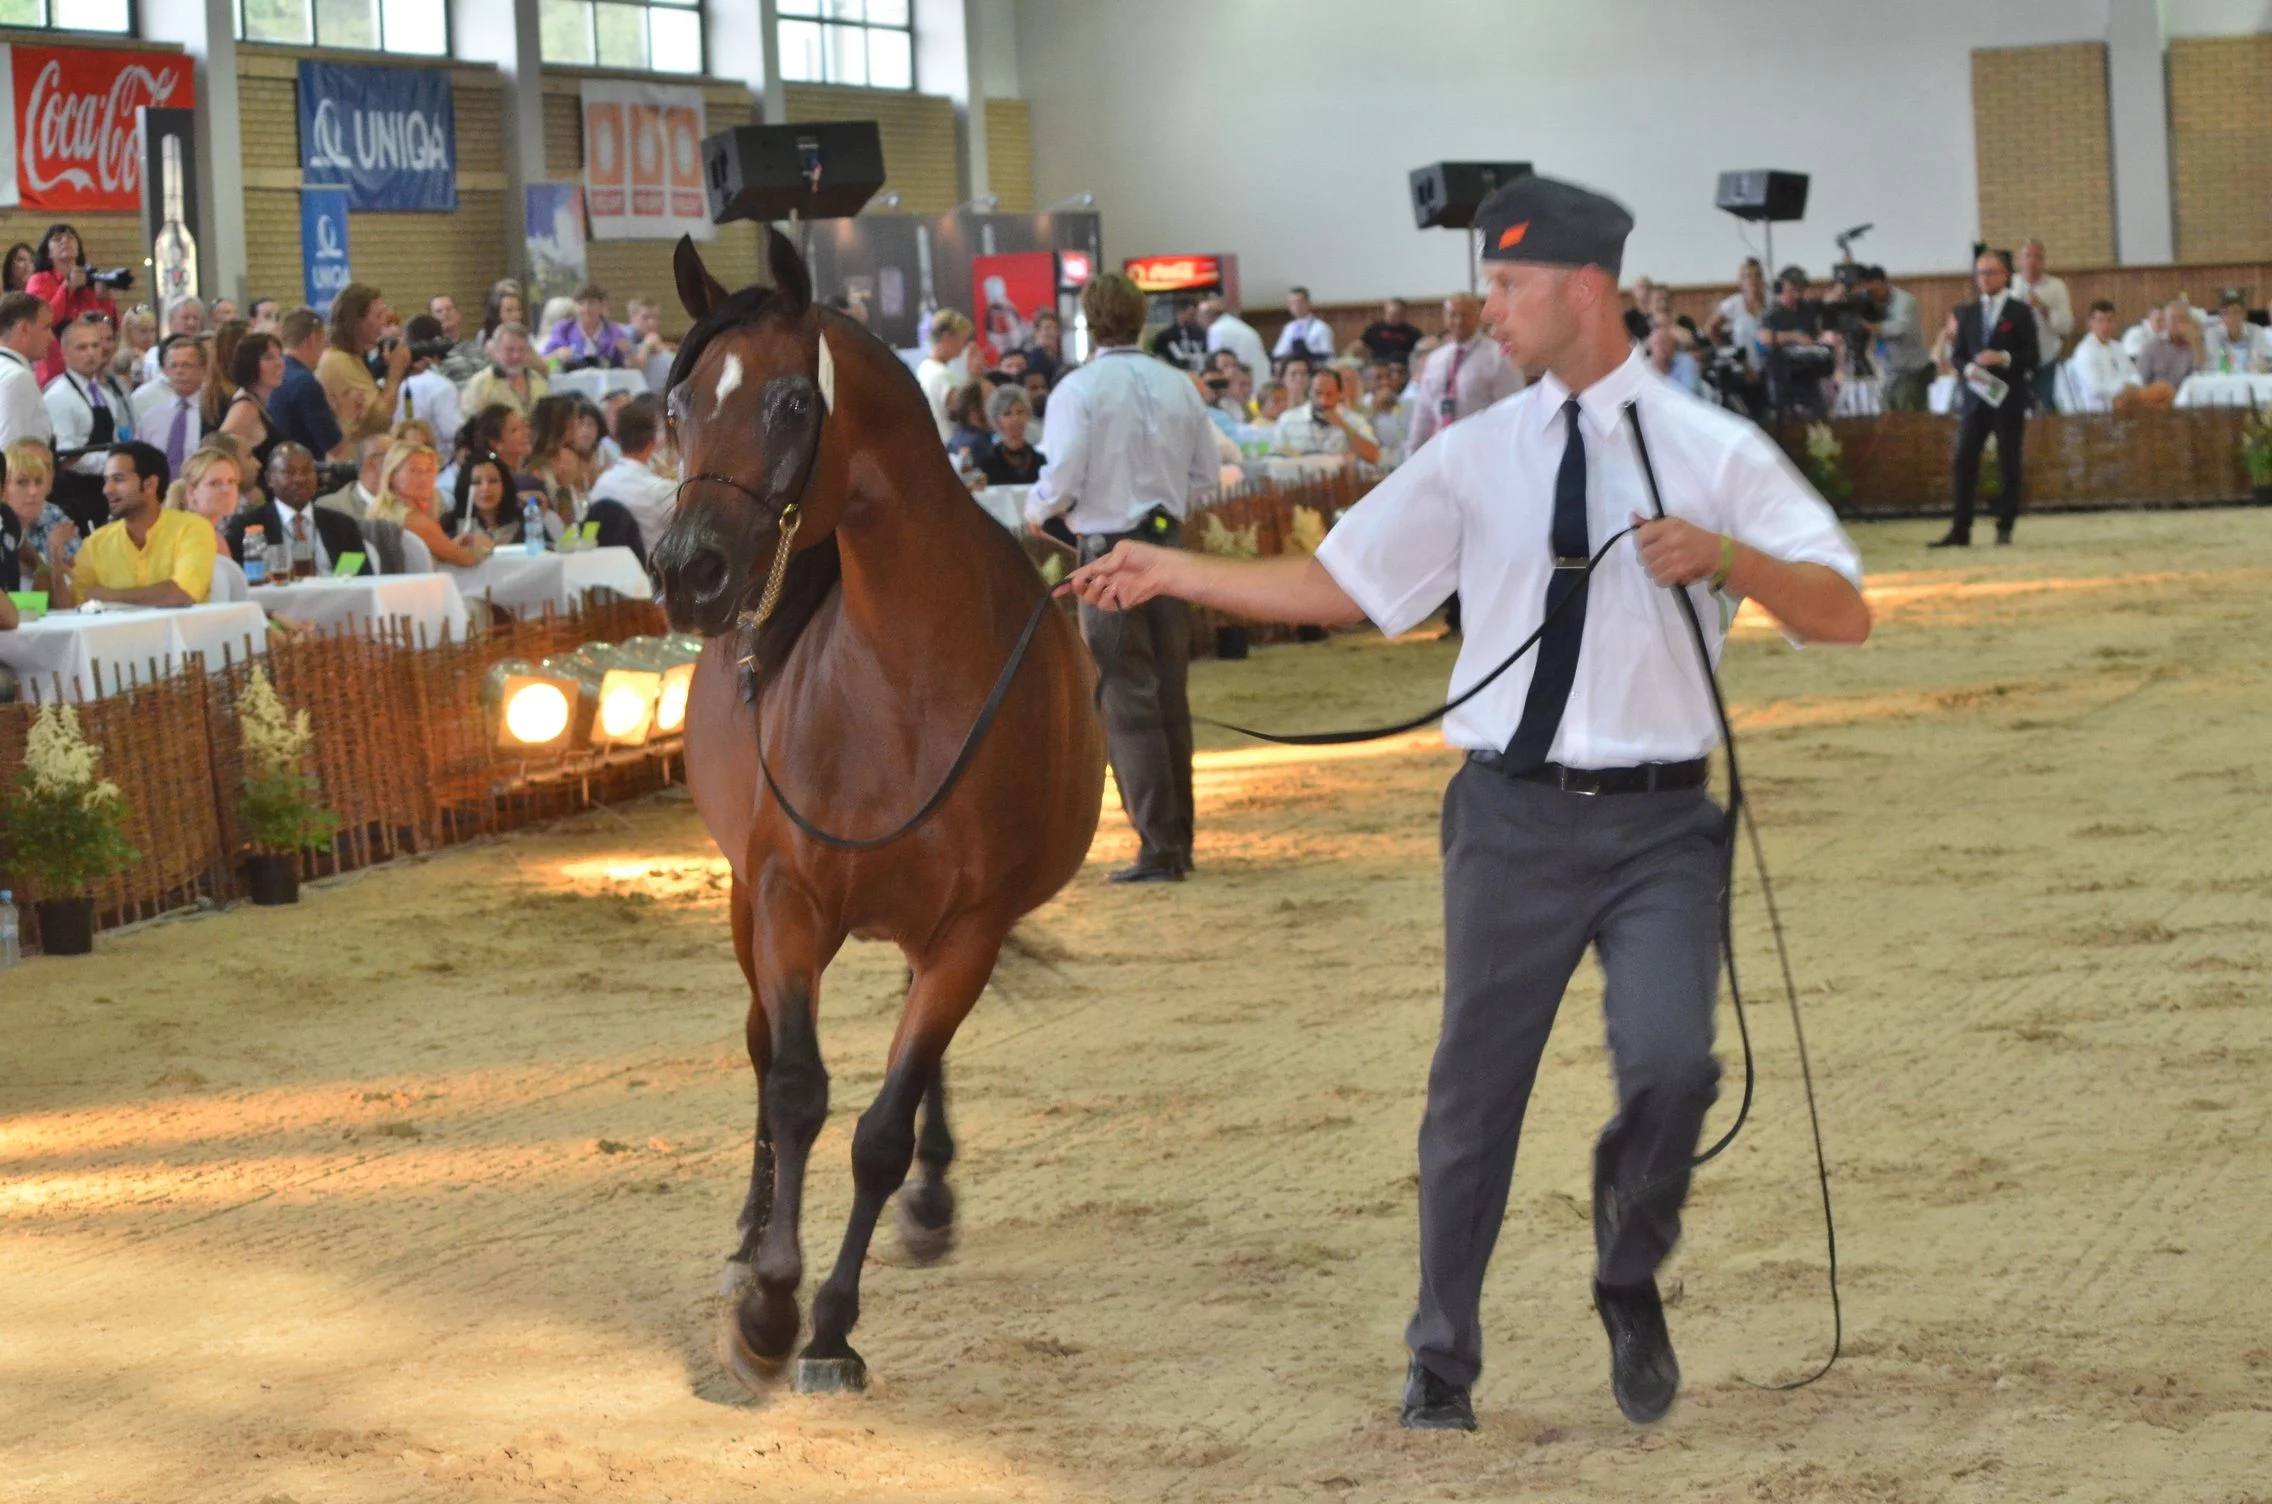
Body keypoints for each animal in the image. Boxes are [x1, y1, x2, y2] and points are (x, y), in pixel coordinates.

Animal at [649, 229, 1108, 1399]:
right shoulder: (786, 902)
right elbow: (796, 1088)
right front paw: (767, 1302)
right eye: (676, 406)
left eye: (787, 403)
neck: (902, 682)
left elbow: (880, 1131)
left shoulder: (971, 928)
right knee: (761, 1054)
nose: (689, 570)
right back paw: (748, 1234)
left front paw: (826, 1326)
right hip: (745, 905)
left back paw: (931, 1201)